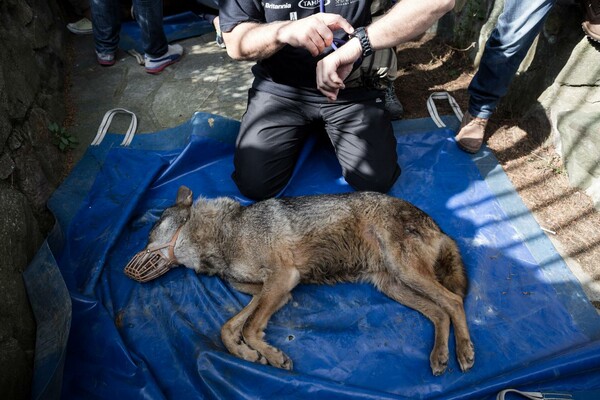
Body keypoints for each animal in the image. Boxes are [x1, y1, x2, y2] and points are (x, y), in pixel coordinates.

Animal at [134, 187, 476, 376]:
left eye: (151, 232)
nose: (128, 270)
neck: (225, 233)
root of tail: (439, 226)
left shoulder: (283, 279)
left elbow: (249, 328)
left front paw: (273, 356)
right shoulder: (269, 291)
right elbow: (228, 329)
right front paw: (249, 356)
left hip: (405, 272)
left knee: (453, 301)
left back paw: (463, 352)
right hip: (393, 286)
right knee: (440, 312)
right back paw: (439, 356)